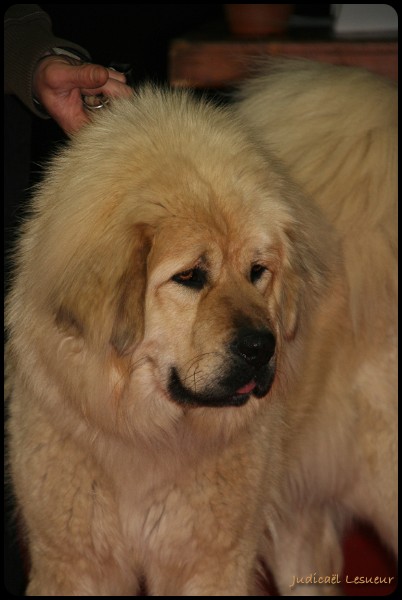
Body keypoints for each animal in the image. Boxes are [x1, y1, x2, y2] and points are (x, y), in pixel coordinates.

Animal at [5, 59, 397, 595]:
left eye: (258, 272)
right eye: (190, 276)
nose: (262, 347)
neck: (142, 435)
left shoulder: (209, 562)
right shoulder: (75, 563)